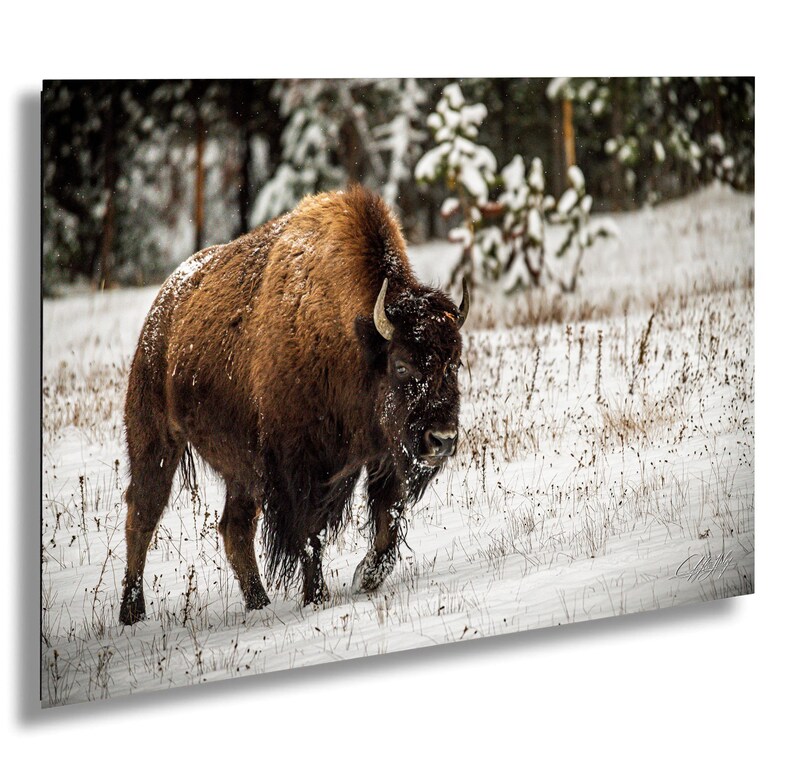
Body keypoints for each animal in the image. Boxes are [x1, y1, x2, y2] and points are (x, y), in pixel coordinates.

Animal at [119, 186, 468, 624]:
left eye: (454, 363)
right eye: (401, 365)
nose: (442, 439)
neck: (355, 341)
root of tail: (161, 310)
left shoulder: (384, 457)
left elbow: (388, 522)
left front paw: (365, 578)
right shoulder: (297, 469)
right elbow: (309, 536)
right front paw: (317, 598)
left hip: (241, 469)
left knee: (234, 529)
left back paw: (259, 603)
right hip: (156, 441)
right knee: (142, 516)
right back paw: (132, 614)